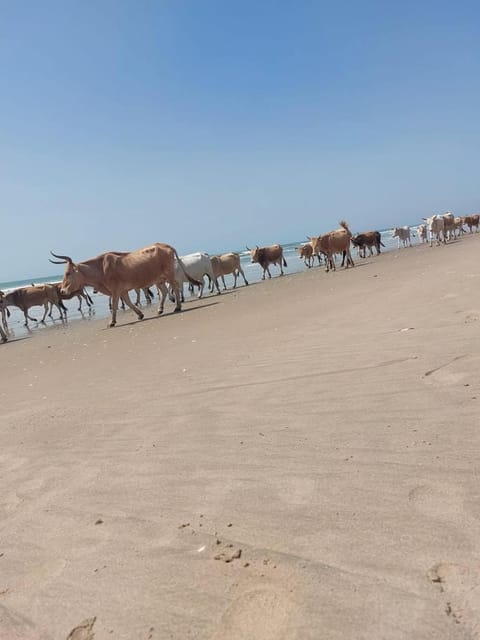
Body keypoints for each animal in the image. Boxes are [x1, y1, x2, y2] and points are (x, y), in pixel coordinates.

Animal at [50, 244, 202, 328]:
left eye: (68, 273)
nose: (62, 290)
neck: (100, 269)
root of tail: (165, 245)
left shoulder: (115, 291)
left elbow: (114, 306)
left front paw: (112, 322)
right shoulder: (122, 291)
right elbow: (128, 303)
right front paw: (140, 314)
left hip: (168, 275)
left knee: (175, 287)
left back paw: (177, 306)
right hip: (159, 279)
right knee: (164, 291)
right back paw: (160, 309)